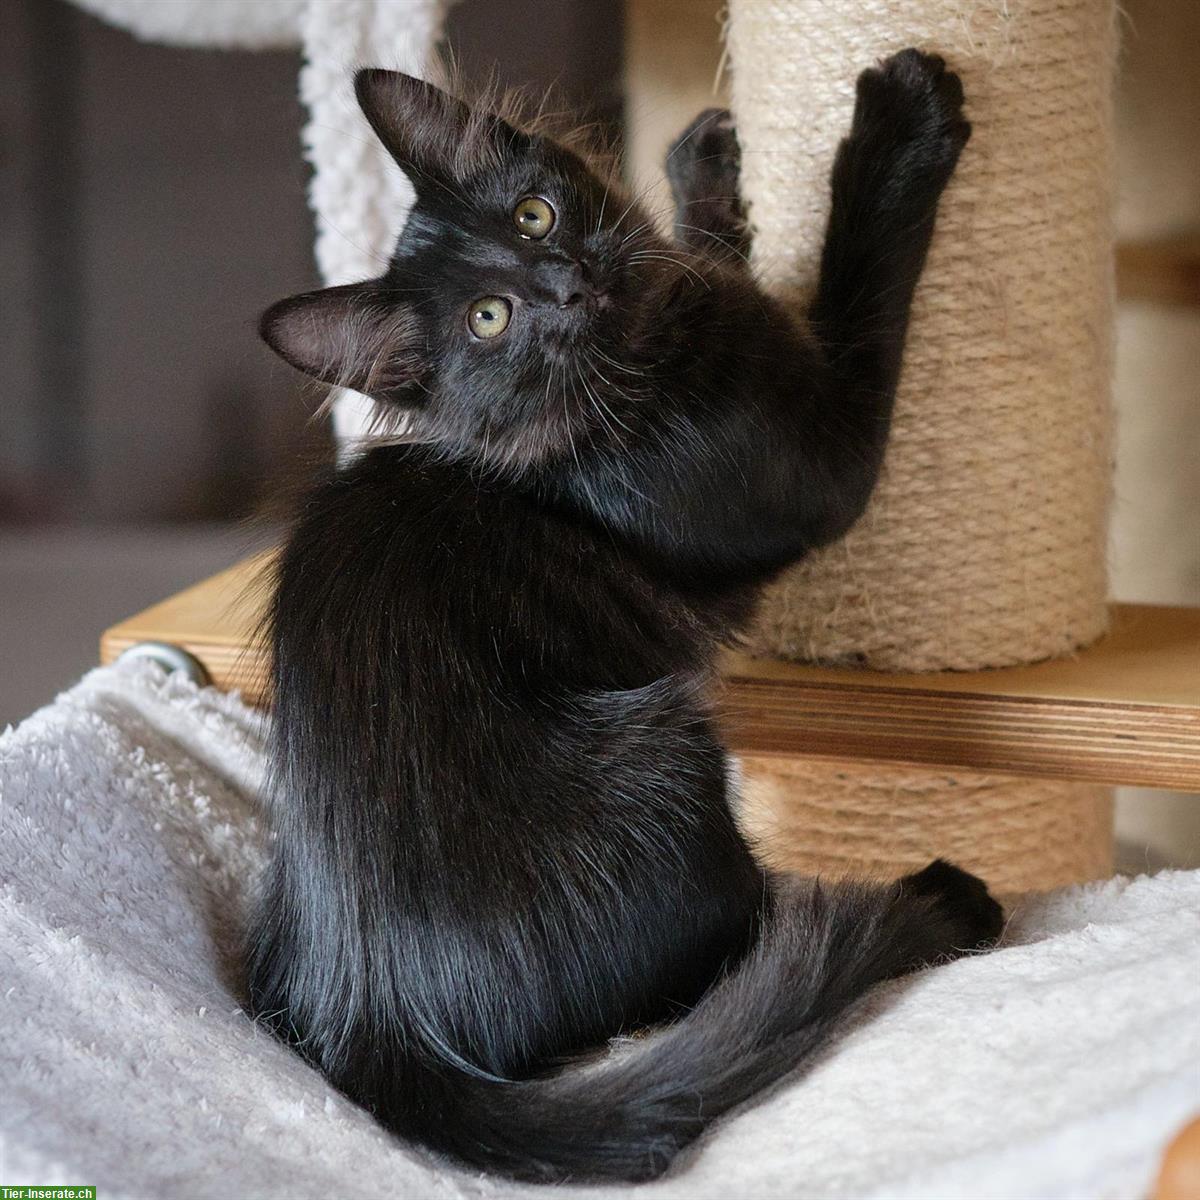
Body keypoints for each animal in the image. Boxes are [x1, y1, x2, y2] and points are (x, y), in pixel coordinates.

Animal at [246, 49, 1003, 1180]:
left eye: (535, 213)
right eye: (489, 321)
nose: (567, 281)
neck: (644, 366)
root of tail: (371, 1016)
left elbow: (714, 253)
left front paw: (705, 168)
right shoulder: (831, 458)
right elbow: (858, 284)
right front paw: (895, 128)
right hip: (667, 754)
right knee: (743, 948)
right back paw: (937, 902)